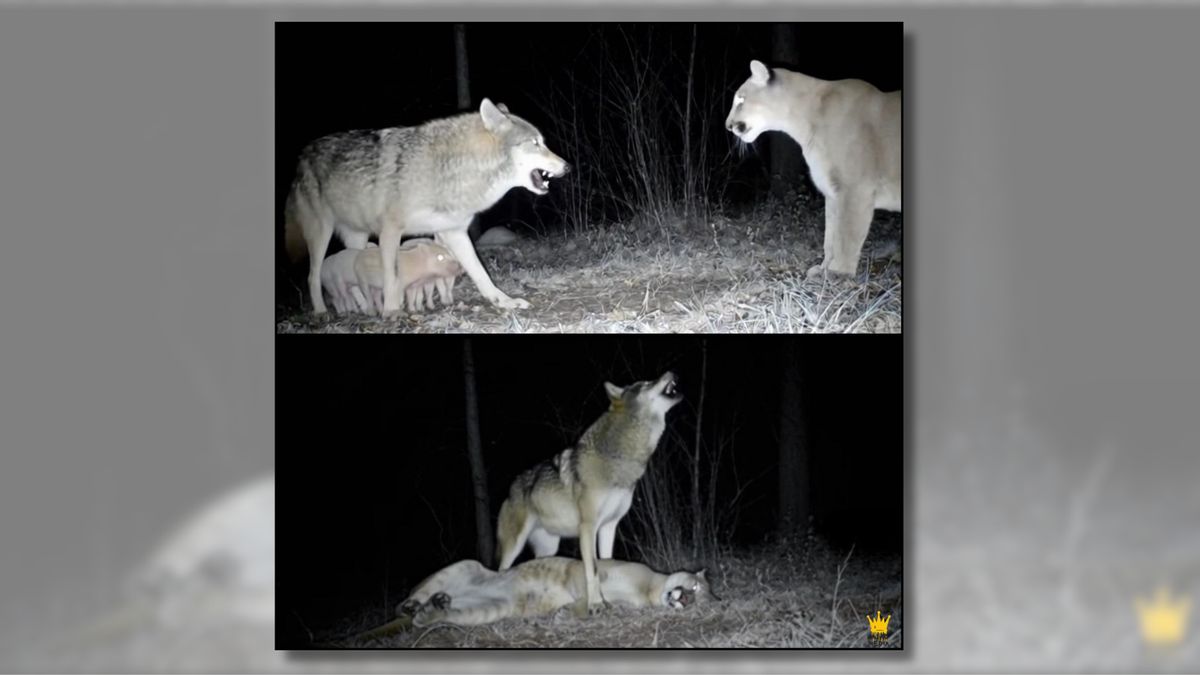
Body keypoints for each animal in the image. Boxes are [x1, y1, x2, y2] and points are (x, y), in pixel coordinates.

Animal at [283, 99, 570, 315]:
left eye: (543, 142)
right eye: (535, 143)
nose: (567, 166)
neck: (451, 171)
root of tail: (301, 157)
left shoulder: (454, 232)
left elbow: (480, 273)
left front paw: (504, 302)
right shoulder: (390, 232)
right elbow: (392, 276)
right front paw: (392, 311)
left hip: (358, 238)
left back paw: (364, 309)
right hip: (322, 234)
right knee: (312, 277)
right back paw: (323, 312)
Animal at [496, 371, 682, 616]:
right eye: (645, 384)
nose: (671, 372)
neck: (619, 460)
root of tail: (511, 487)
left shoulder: (609, 526)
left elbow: (607, 561)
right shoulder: (588, 527)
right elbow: (592, 570)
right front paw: (596, 605)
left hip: (549, 547)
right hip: (514, 546)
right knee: (500, 571)